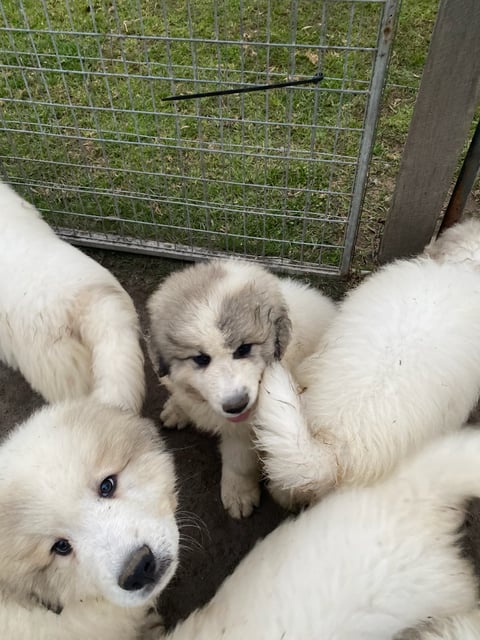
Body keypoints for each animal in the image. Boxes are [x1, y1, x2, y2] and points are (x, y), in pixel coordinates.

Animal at [147, 258, 338, 516]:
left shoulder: (244, 430)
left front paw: (239, 494)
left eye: (244, 349)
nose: (236, 405)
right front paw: (177, 409)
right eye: (201, 359)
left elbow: (239, 462)